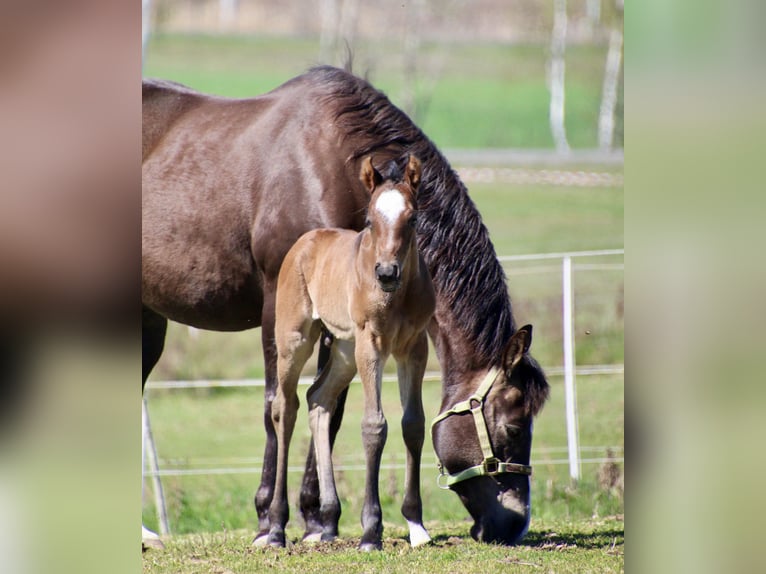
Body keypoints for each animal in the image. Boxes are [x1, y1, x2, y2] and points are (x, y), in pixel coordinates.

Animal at [268, 155, 434, 550]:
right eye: (370, 220)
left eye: (413, 219)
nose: (386, 272)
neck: (396, 296)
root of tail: (306, 241)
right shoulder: (371, 344)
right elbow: (374, 426)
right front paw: (371, 531)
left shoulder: (414, 347)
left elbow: (413, 424)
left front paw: (416, 524)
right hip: (295, 339)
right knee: (285, 408)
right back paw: (276, 528)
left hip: (344, 348)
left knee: (318, 399)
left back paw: (327, 520)